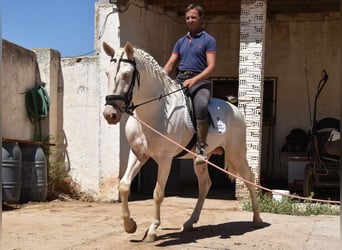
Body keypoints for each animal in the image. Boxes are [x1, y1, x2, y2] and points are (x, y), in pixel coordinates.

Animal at [101, 42, 262, 241]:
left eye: (126, 74)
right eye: (107, 74)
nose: (110, 114)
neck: (154, 112)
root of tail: (235, 109)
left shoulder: (165, 160)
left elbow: (158, 193)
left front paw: (152, 230)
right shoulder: (138, 154)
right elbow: (123, 186)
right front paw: (129, 225)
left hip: (237, 154)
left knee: (250, 179)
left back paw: (257, 219)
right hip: (203, 159)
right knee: (205, 185)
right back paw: (189, 222)